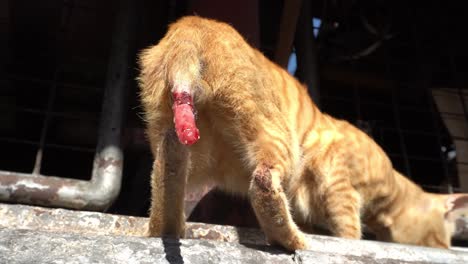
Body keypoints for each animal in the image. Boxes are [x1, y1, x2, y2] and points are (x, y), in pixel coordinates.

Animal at [137, 15, 468, 251]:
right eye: (440, 241)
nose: (445, 249)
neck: (390, 189)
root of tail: (190, 26)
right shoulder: (338, 177)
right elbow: (349, 228)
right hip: (276, 135)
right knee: (263, 183)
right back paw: (291, 240)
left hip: (185, 147)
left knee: (165, 173)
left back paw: (166, 228)